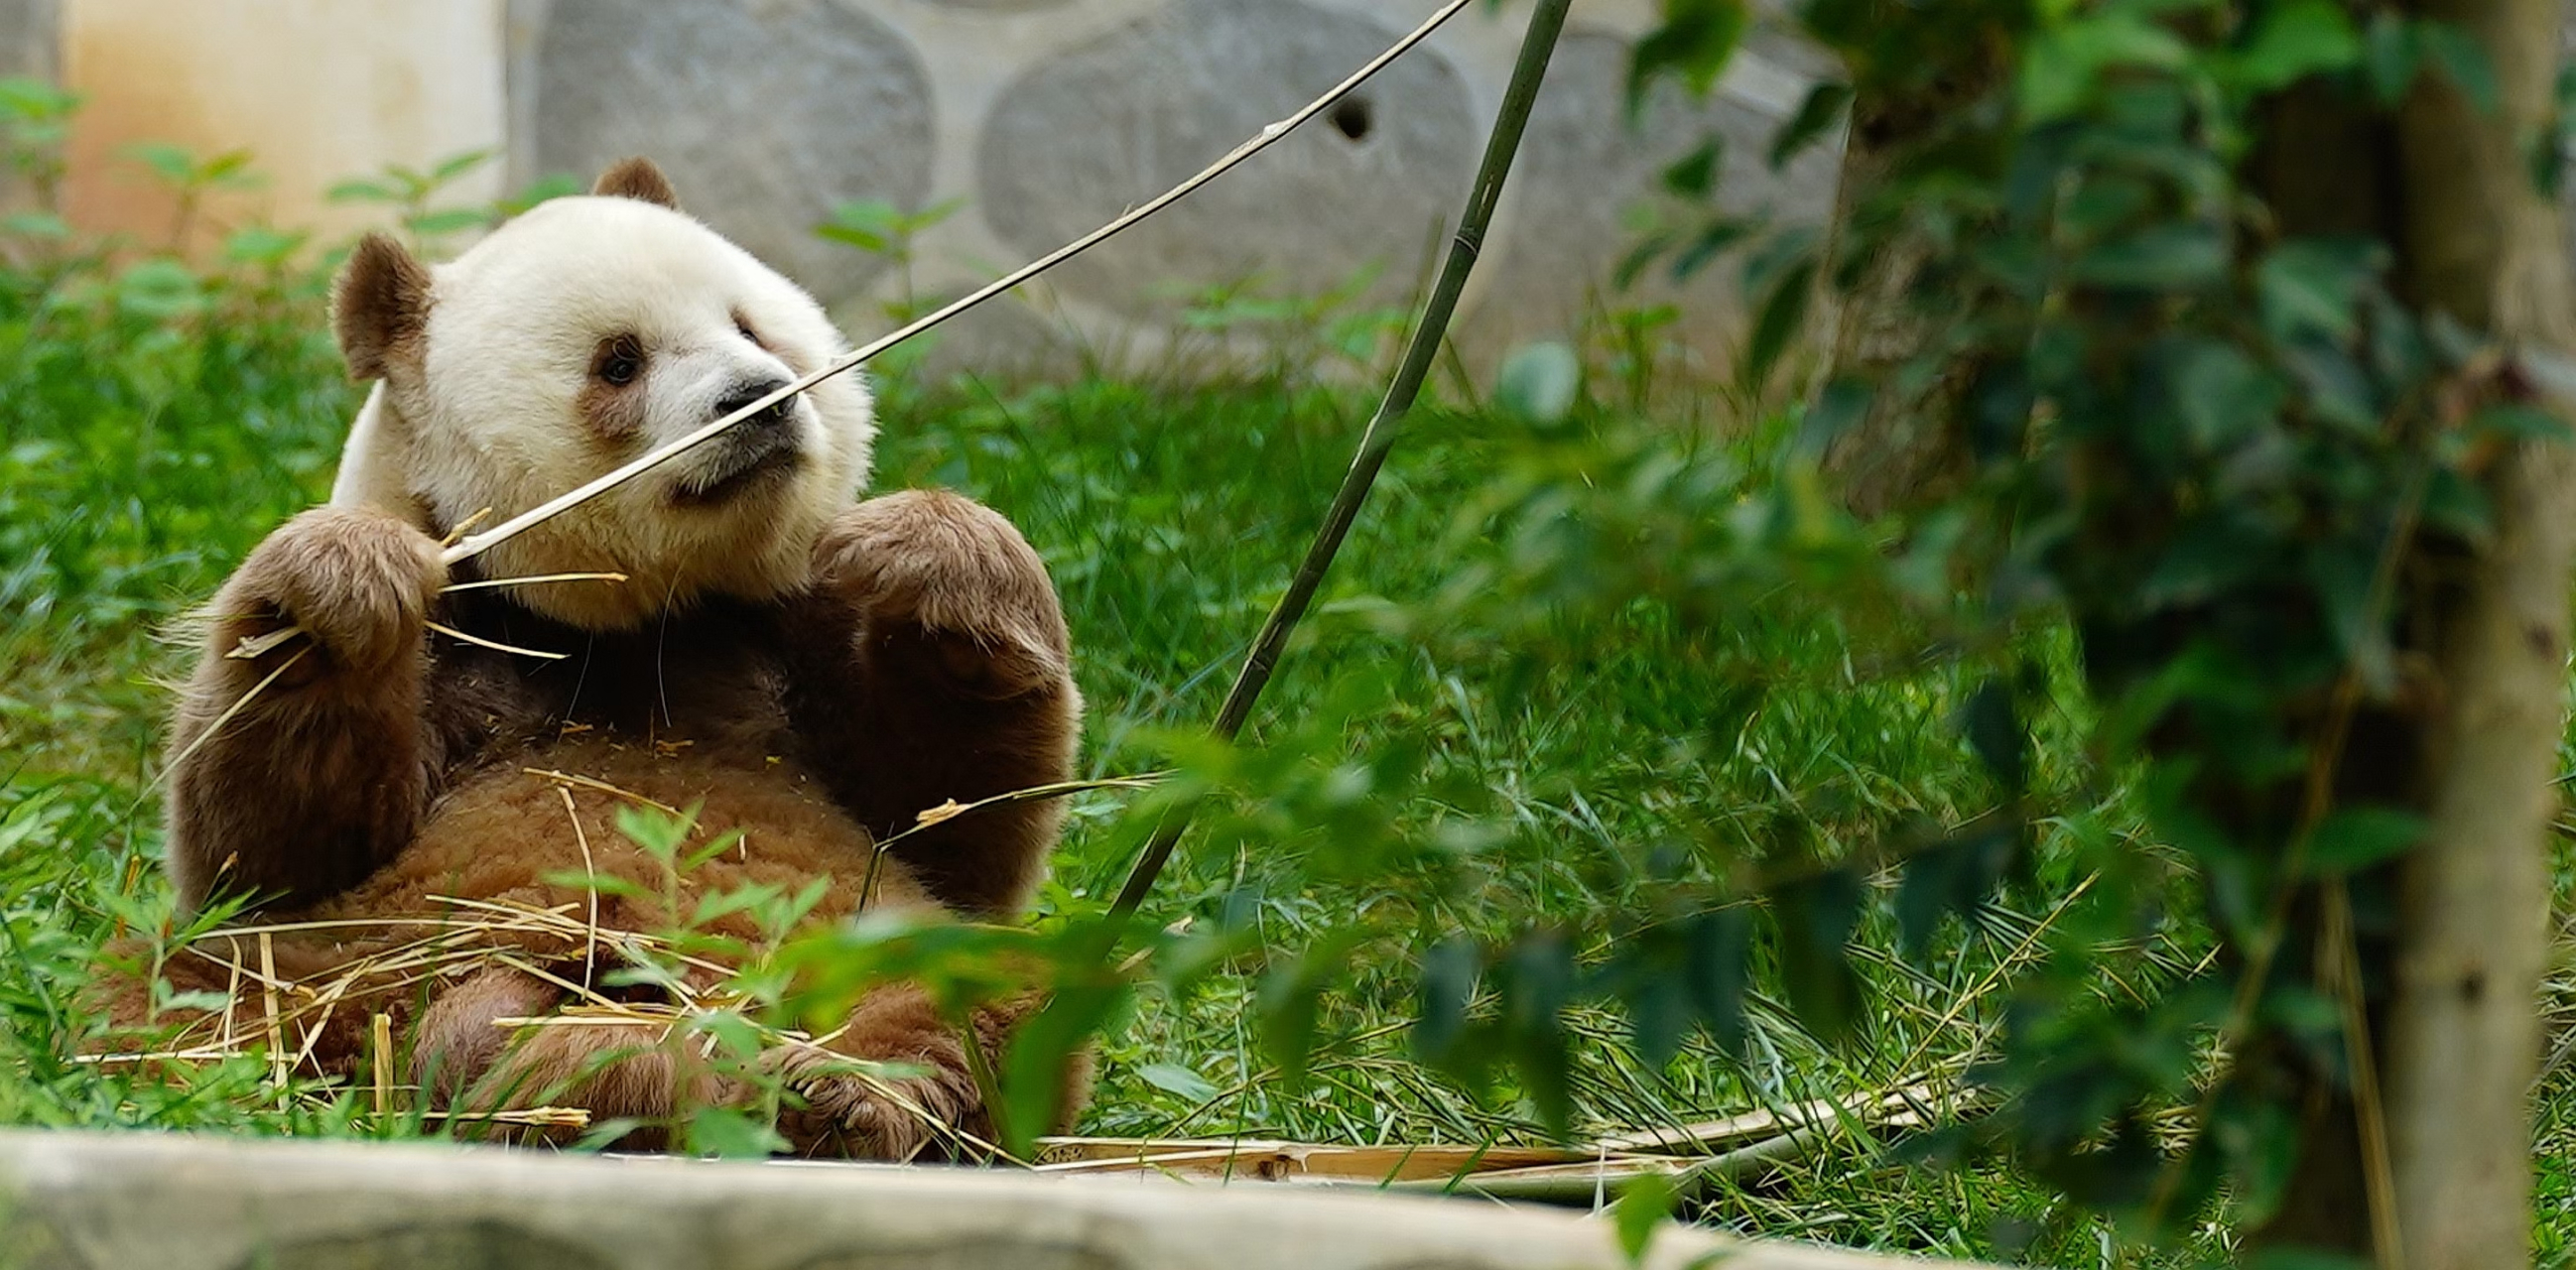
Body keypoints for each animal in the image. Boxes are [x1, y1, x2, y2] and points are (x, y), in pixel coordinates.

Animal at [122, 158, 1083, 1159]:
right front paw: (345, 580)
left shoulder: (783, 640)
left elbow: (950, 822)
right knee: (256, 998)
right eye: (620, 361)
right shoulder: (463, 637)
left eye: (749, 324)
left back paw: (860, 1097)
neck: (633, 626)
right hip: (371, 968)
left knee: (975, 993)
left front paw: (930, 555)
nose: (761, 396)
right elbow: (273, 847)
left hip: (859, 946)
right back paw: (613, 1070)